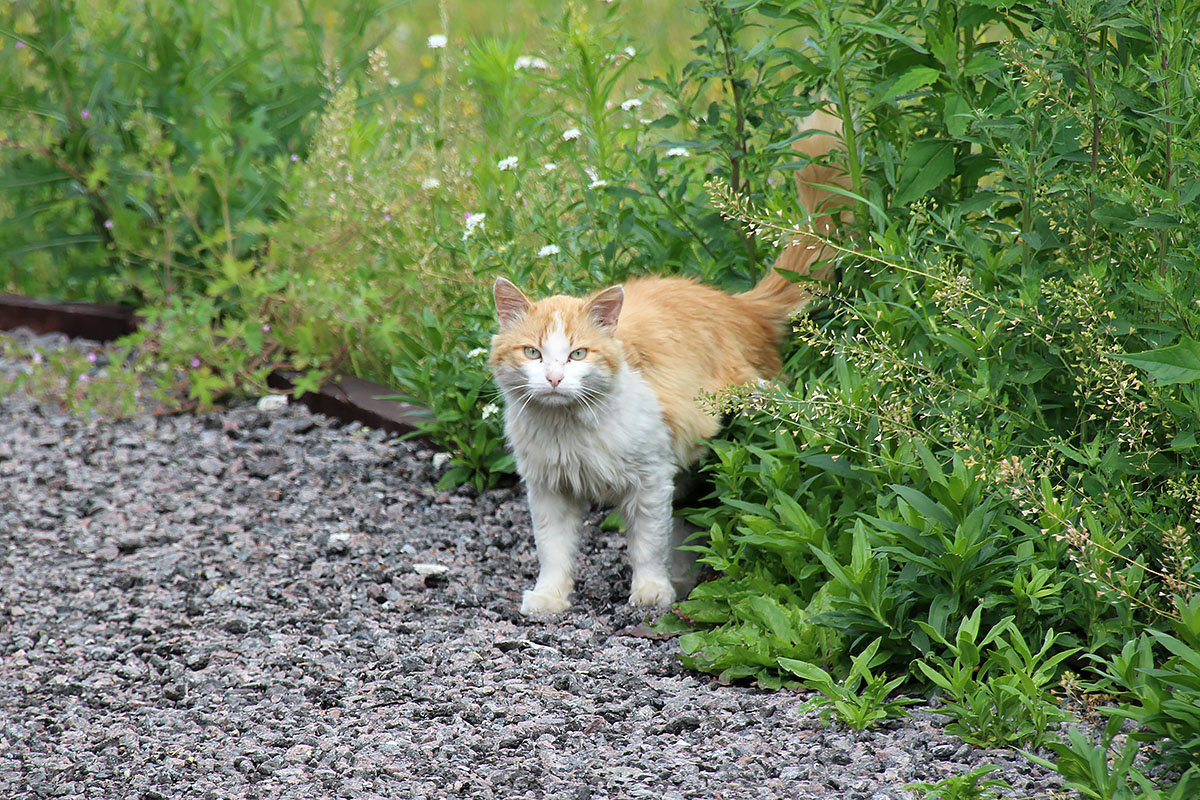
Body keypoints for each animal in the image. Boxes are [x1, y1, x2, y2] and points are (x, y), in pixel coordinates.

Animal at [487, 109, 844, 618]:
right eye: (533, 353)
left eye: (578, 354)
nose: (554, 378)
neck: (569, 431)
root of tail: (736, 304)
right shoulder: (548, 490)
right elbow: (554, 550)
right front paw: (550, 597)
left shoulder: (651, 479)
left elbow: (647, 544)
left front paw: (650, 592)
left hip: (756, 404)